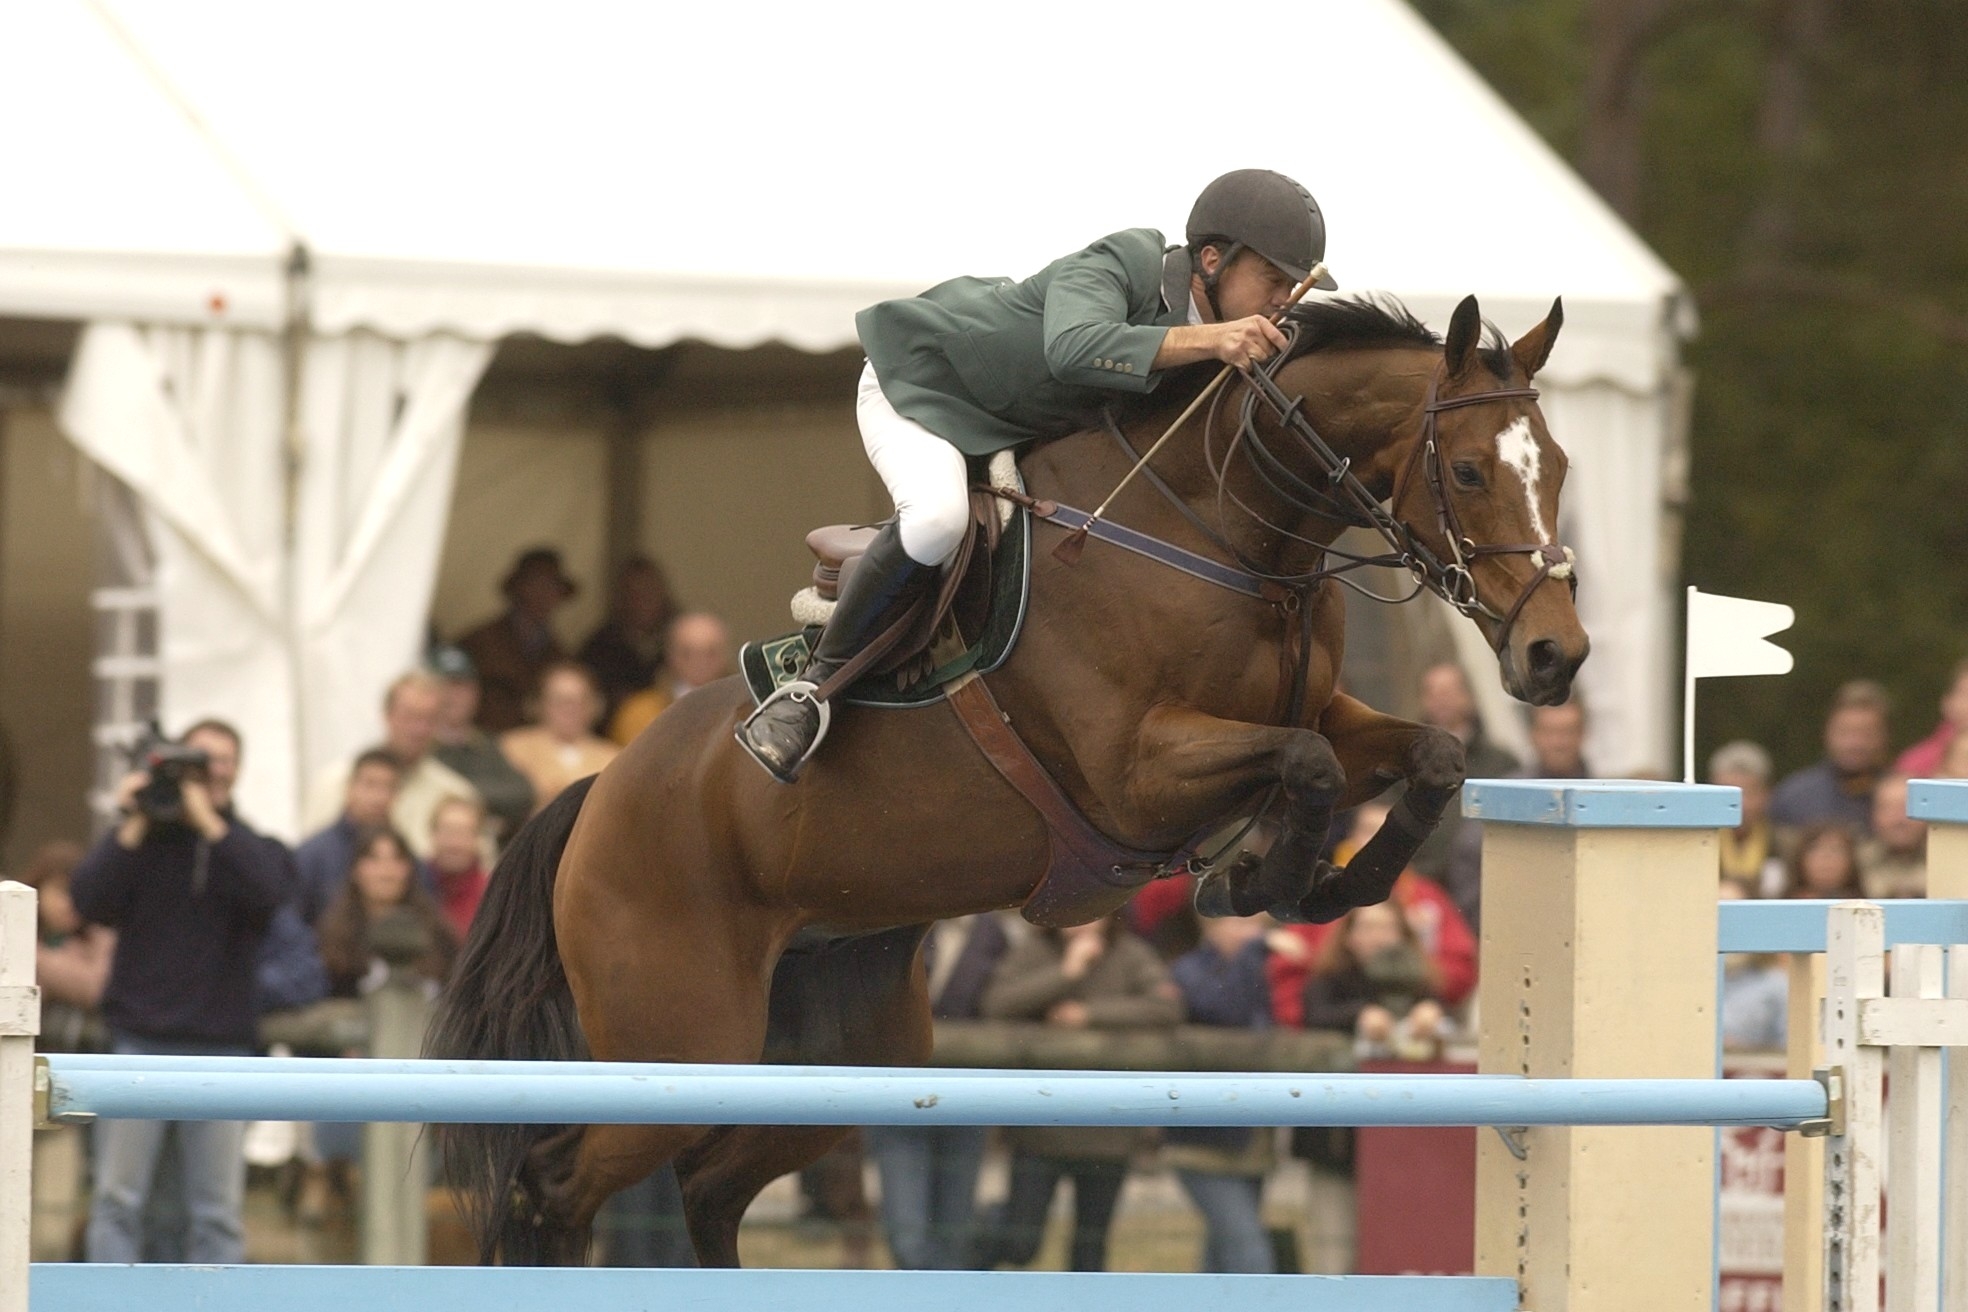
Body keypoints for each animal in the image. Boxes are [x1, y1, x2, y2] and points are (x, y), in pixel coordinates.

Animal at [430, 293, 1582, 1266]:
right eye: (1468, 471)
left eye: (1561, 467)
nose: (1555, 657)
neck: (1230, 538)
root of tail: (597, 796)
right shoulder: (1134, 774)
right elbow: (1299, 764)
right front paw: (1262, 883)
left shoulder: (1323, 715)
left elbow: (1429, 756)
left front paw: (1324, 884)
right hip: (681, 1040)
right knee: (552, 1184)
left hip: (851, 1053)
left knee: (709, 1187)